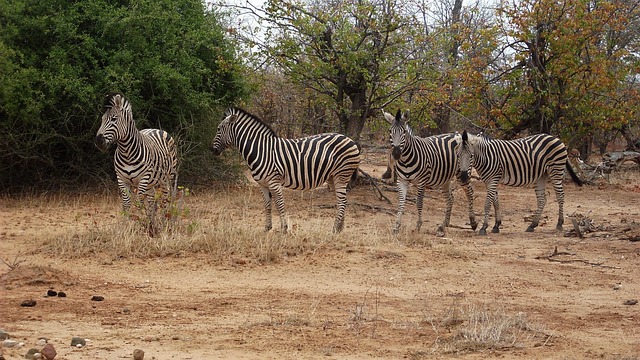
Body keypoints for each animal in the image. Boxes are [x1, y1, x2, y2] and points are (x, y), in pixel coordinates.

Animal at [210, 107, 360, 232]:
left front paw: (284, 229)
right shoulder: (262, 184)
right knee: (341, 201)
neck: (261, 150)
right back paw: (340, 227)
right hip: (333, 177)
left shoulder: (274, 182)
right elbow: (268, 205)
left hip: (342, 175)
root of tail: (350, 140)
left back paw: (335, 229)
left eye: (218, 129)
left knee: (343, 201)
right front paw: (267, 228)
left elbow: (280, 204)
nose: (212, 150)